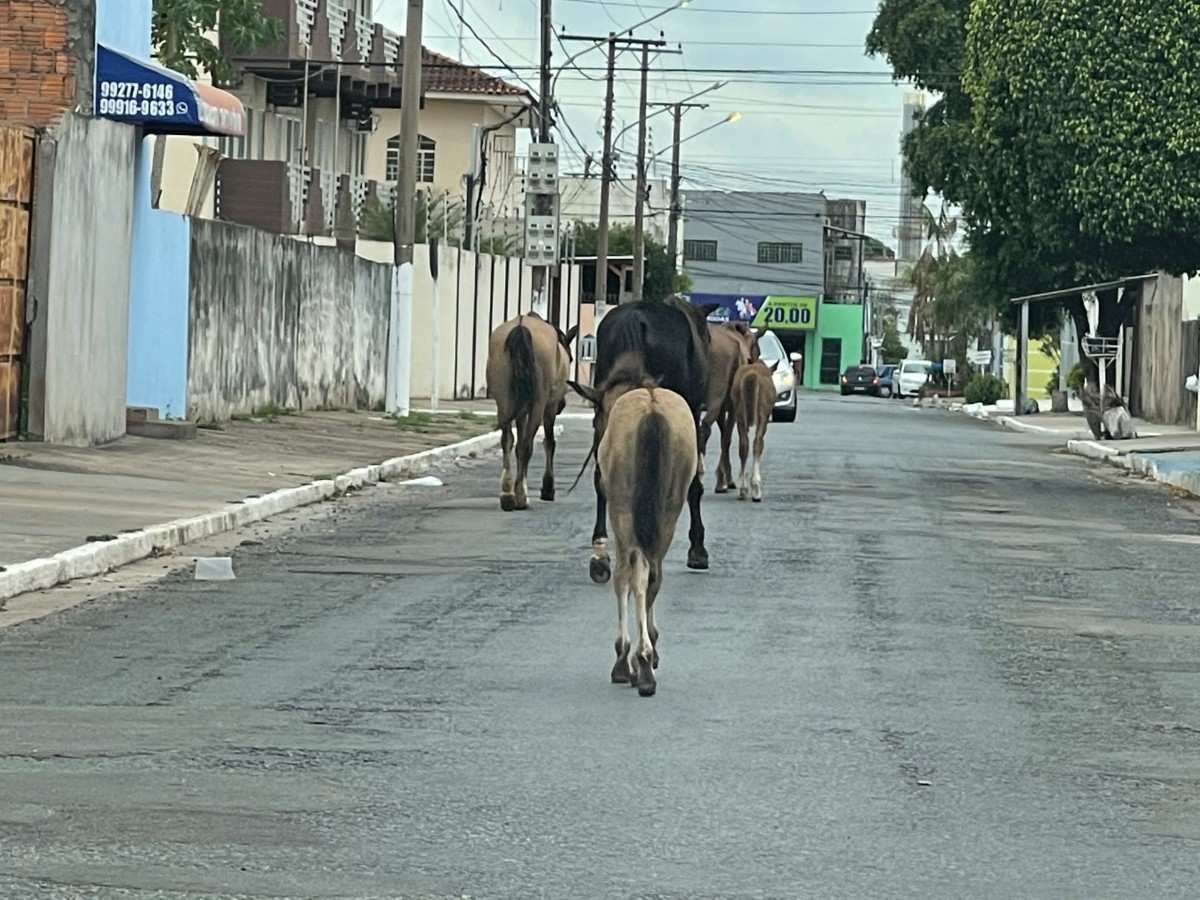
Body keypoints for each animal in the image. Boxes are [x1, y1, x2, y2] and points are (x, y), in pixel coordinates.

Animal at [568, 357, 700, 696]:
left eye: (597, 417)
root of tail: (651, 409)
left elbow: (623, 577)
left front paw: (626, 657)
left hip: (623, 509)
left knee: (630, 574)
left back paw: (634, 661)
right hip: (668, 509)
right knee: (653, 573)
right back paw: (646, 658)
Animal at [700, 321, 763, 494]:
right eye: (758, 349)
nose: (753, 360)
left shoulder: (723, 407)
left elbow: (723, 437)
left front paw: (721, 477)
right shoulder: (734, 406)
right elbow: (726, 439)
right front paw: (725, 480)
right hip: (715, 395)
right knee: (704, 428)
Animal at [729, 357, 777, 501]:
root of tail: (752, 374)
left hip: (739, 415)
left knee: (743, 445)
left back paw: (743, 489)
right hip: (762, 415)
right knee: (757, 443)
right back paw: (756, 488)